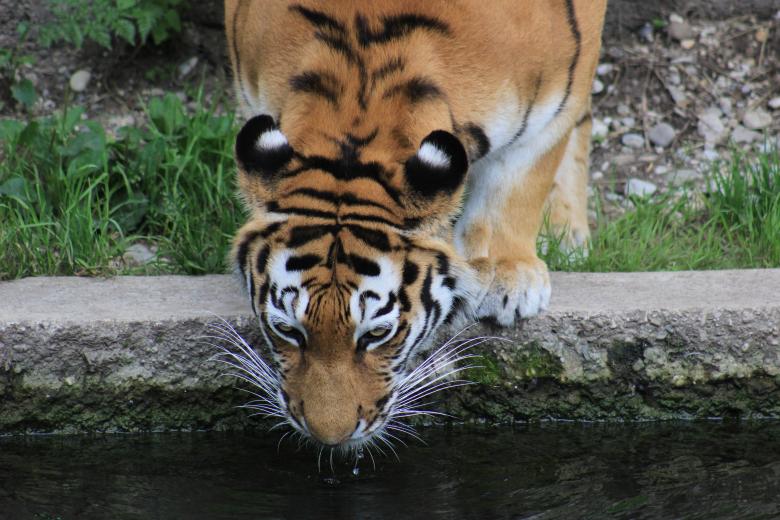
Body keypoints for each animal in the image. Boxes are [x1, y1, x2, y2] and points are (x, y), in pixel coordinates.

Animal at [224, 0, 607, 448]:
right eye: (287, 330)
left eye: (376, 334)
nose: (331, 437)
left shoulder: (558, 100)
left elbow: (517, 185)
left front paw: (507, 276)